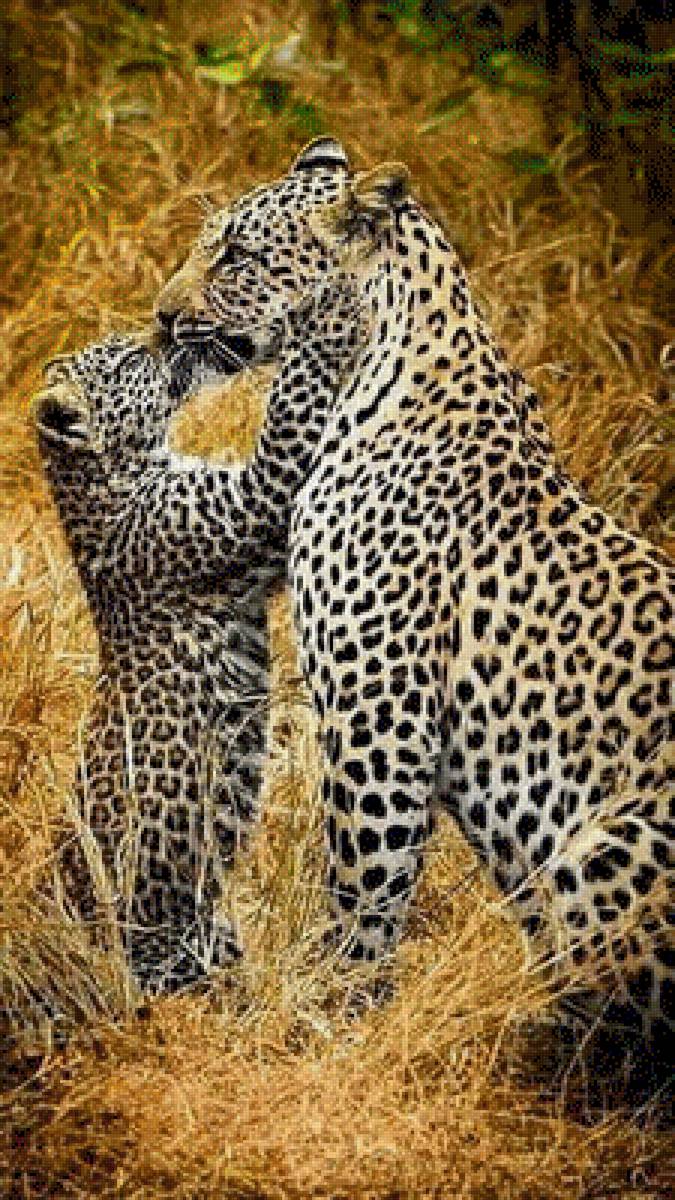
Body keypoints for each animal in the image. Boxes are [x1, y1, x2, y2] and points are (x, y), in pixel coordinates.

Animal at [157, 139, 673, 1058]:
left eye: (237, 255)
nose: (158, 317)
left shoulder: (380, 712)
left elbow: (365, 879)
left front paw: (337, 1015)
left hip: (606, 841)